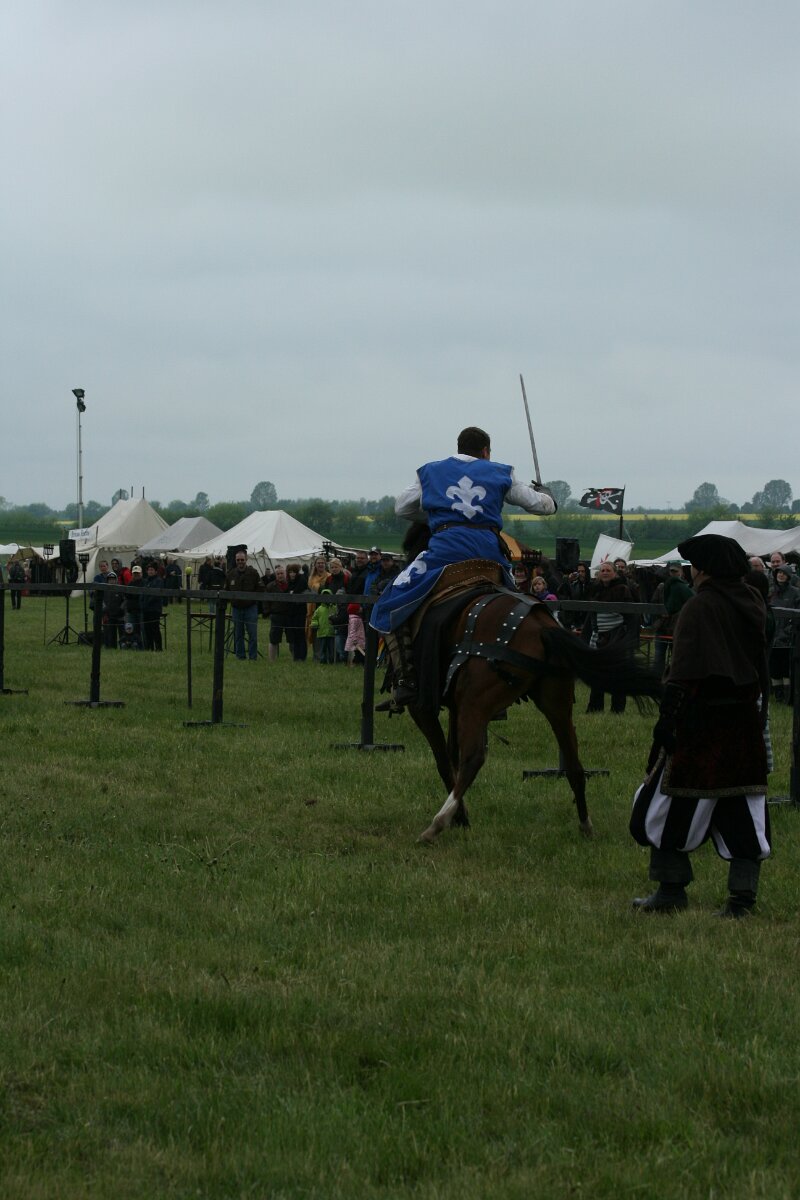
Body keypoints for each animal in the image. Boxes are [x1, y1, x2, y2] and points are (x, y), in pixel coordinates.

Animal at [387, 524, 661, 843]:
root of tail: (543, 628)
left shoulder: (425, 707)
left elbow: (445, 760)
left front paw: (460, 817)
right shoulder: (455, 706)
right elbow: (451, 756)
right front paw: (462, 818)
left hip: (477, 704)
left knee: (473, 758)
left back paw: (436, 825)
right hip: (555, 703)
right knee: (574, 765)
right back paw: (585, 824)